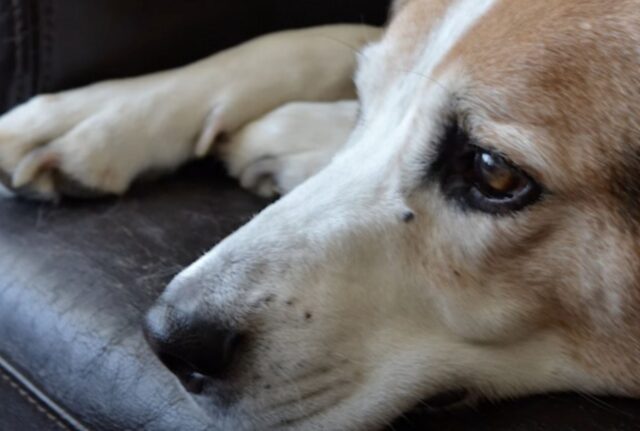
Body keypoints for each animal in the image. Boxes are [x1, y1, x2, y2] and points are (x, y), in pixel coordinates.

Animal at [1, 0, 640, 431]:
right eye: (364, 102)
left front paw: (293, 137)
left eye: (494, 172)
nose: (169, 340)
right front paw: (98, 115)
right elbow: (317, 37)